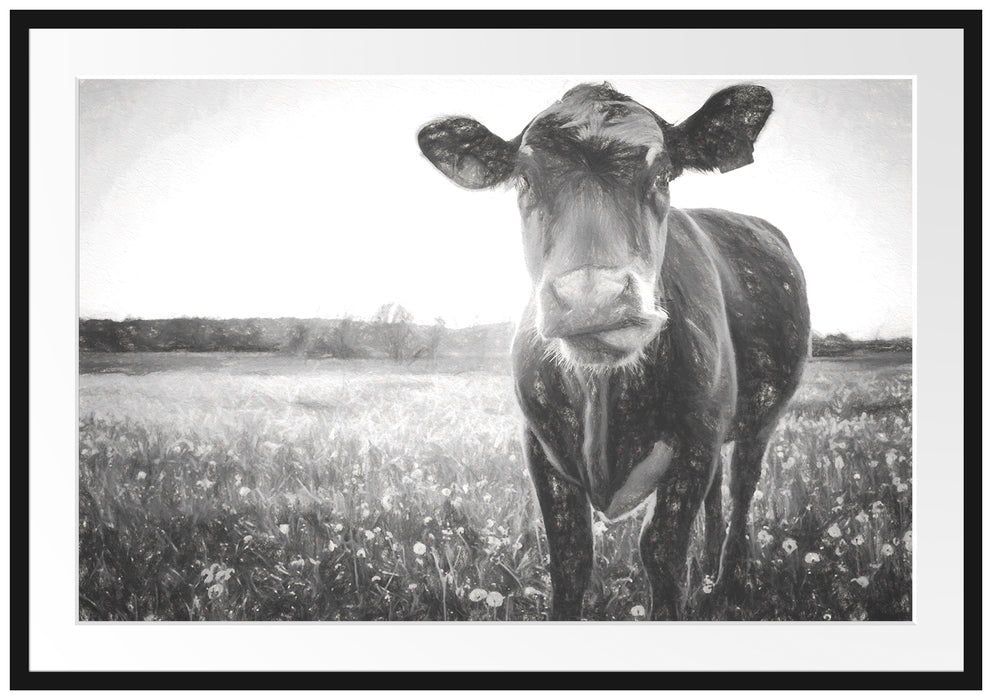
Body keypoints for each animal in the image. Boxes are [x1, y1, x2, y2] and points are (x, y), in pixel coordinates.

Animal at [417, 83, 810, 620]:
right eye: (524, 179)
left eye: (663, 173)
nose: (593, 297)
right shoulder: (540, 447)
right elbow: (569, 556)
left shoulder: (696, 441)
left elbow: (661, 550)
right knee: (717, 498)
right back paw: (708, 573)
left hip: (760, 421)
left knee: (742, 489)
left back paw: (728, 581)